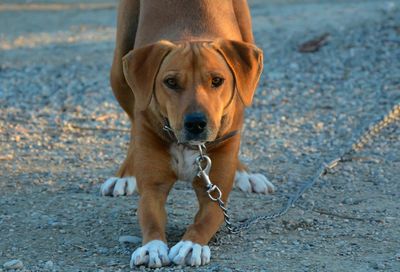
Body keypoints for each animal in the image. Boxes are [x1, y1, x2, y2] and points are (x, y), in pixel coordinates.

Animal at [100, 0, 276, 268]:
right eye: (171, 82)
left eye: (217, 80)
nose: (196, 123)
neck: (190, 146)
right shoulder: (152, 188)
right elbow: (150, 216)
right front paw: (152, 247)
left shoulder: (214, 192)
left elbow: (206, 219)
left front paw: (191, 245)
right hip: (119, 71)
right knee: (132, 116)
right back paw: (124, 175)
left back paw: (245, 173)